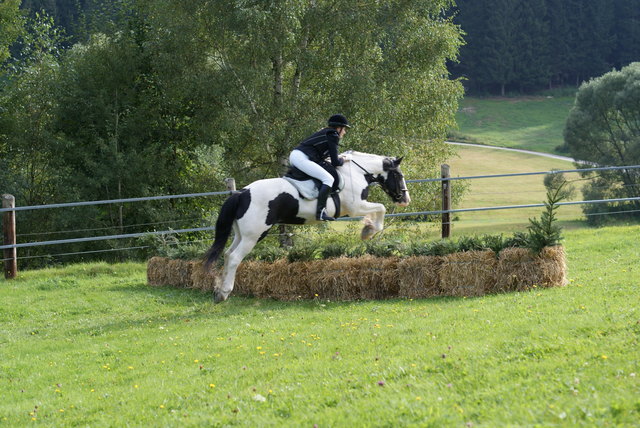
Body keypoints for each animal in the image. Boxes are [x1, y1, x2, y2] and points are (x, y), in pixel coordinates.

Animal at [202, 152, 410, 302]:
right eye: (398, 175)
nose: (405, 199)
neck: (356, 173)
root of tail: (242, 193)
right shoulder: (355, 207)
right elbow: (381, 208)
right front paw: (369, 231)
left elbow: (378, 210)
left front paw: (368, 228)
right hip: (254, 235)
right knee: (235, 258)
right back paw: (224, 292)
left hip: (241, 234)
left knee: (227, 254)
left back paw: (219, 290)